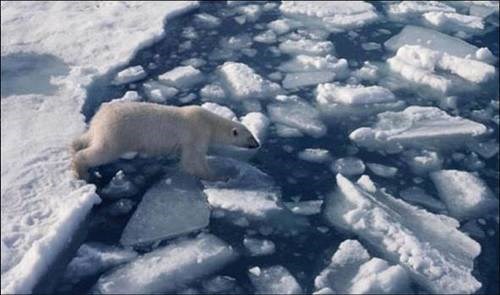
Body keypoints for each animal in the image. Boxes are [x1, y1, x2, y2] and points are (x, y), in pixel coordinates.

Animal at [72, 102, 260, 180]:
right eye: (250, 136)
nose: (257, 144)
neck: (209, 123)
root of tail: (97, 119)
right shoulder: (195, 134)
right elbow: (192, 161)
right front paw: (219, 176)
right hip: (116, 133)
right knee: (102, 151)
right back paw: (81, 171)